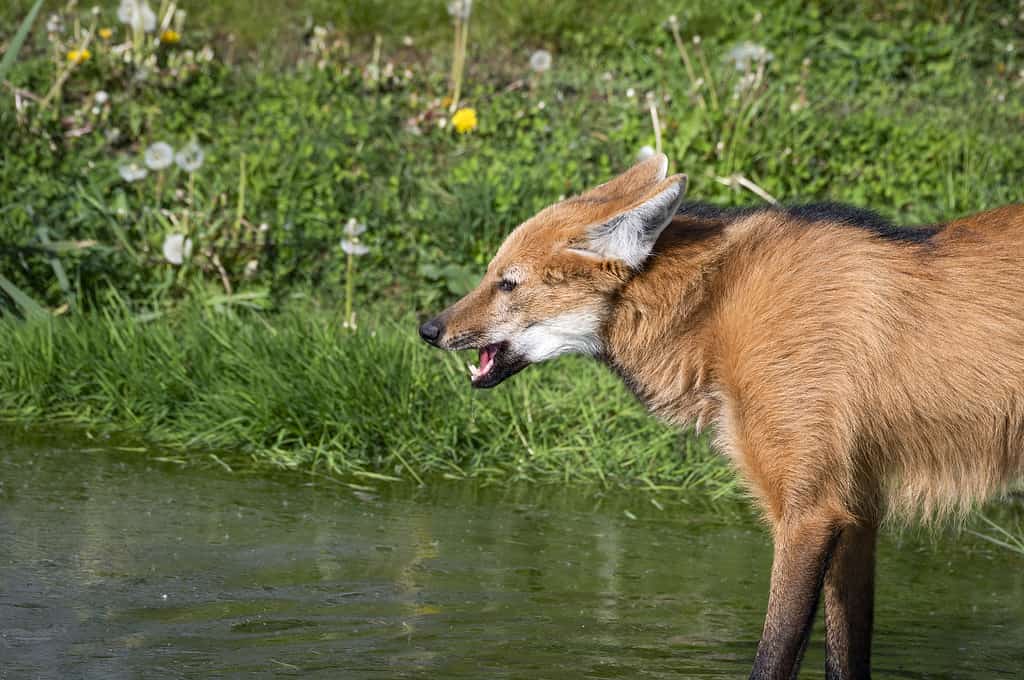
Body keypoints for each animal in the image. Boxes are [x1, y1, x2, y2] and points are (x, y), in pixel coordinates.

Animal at [415, 153, 1024, 680]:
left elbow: (772, 657)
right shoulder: (854, 515)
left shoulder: (810, 515)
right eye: (490, 274)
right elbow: (845, 659)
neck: (718, 307)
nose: (428, 328)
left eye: (507, 283)